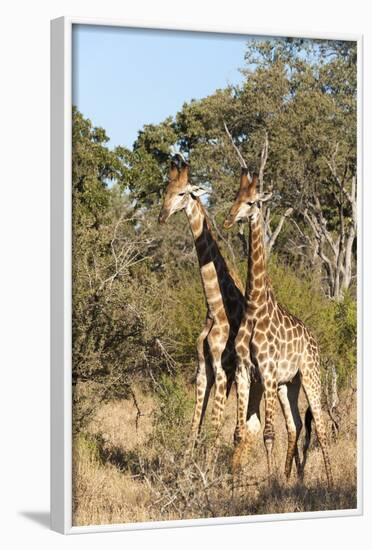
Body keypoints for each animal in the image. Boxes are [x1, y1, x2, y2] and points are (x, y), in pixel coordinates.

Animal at [158, 154, 306, 474]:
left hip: (265, 381)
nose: (162, 217)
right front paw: (186, 470)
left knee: (261, 425)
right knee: (257, 425)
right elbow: (195, 426)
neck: (214, 306)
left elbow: (215, 426)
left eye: (181, 193)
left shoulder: (224, 369)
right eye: (165, 191)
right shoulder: (203, 367)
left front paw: (206, 472)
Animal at [222, 167, 332, 488]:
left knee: (321, 427)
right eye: (236, 197)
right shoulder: (245, 371)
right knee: (295, 425)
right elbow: (239, 433)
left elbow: (268, 434)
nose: (228, 219)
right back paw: (288, 477)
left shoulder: (268, 372)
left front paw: (269, 484)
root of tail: (314, 339)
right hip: (289, 385)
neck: (254, 307)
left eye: (251, 202)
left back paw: (330, 482)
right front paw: (235, 485)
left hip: (310, 375)